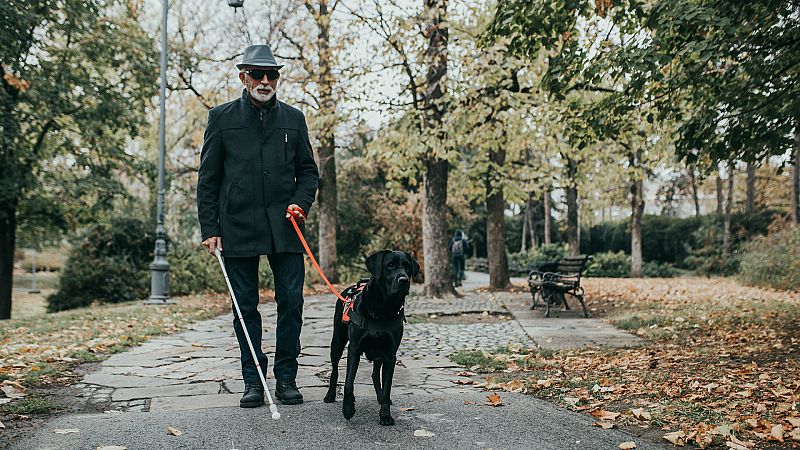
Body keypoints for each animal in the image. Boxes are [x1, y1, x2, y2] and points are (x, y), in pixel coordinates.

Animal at [324, 250, 422, 426]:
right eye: (390, 265)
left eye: (407, 267)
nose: (403, 280)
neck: (383, 308)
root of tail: (349, 289)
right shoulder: (354, 349)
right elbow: (349, 382)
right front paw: (348, 408)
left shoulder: (390, 355)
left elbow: (387, 386)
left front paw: (385, 414)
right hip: (337, 343)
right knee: (335, 370)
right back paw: (330, 395)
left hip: (379, 354)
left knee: (376, 375)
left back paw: (380, 397)